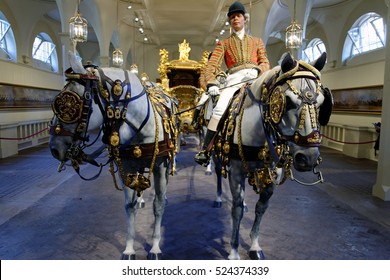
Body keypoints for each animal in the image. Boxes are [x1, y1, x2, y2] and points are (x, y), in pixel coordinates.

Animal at [49, 51, 177, 260]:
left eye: (70, 104)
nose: (54, 148)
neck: (141, 126)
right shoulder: (126, 166)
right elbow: (129, 207)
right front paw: (129, 248)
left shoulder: (160, 166)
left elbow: (158, 205)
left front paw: (155, 247)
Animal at [215, 51, 334, 260]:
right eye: (288, 102)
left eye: (321, 103)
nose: (308, 158)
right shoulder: (236, 171)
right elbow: (236, 210)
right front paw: (234, 251)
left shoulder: (272, 174)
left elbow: (261, 207)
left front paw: (254, 245)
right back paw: (219, 198)